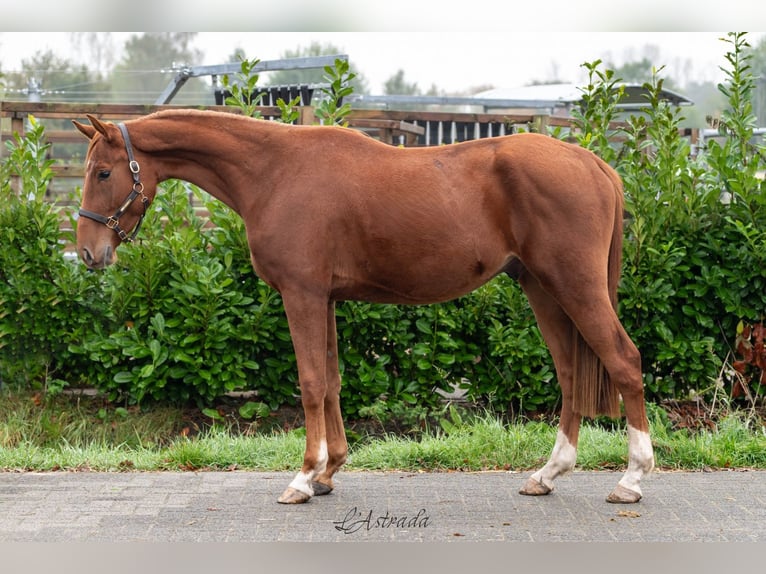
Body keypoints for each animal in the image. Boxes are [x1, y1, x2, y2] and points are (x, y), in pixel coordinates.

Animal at [75, 108, 656, 504]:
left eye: (103, 172)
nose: (87, 252)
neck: (273, 172)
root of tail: (592, 162)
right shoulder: (326, 298)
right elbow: (331, 382)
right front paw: (329, 472)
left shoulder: (302, 294)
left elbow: (311, 383)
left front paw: (303, 478)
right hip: (541, 288)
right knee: (571, 372)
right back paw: (548, 474)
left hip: (574, 286)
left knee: (624, 361)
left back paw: (631, 478)